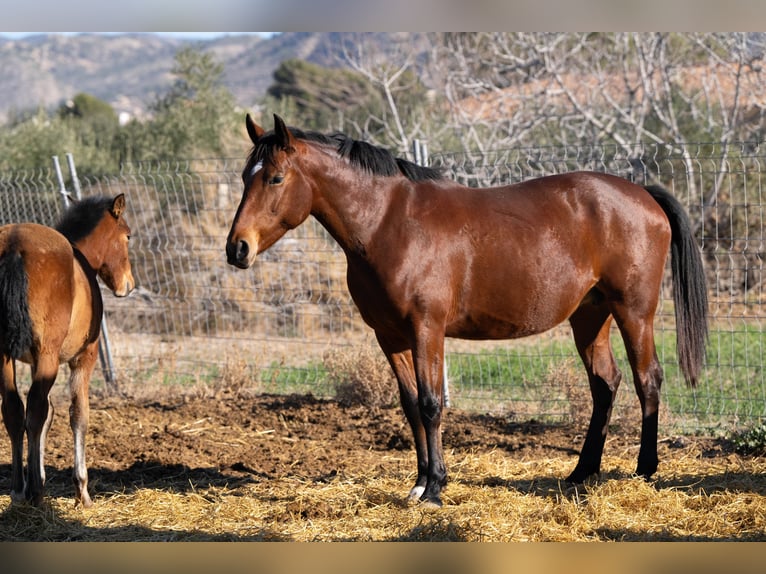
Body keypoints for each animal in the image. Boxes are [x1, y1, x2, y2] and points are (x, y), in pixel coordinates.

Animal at [0, 195, 134, 508]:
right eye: (127, 236)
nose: (128, 285)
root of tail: (14, 244)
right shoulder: (83, 358)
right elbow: (78, 415)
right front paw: (81, 490)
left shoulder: (34, 363)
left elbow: (48, 415)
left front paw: (38, 474)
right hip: (49, 355)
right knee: (33, 410)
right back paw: (35, 493)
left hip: (4, 356)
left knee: (14, 410)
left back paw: (19, 490)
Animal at [225, 115, 712, 510]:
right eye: (246, 177)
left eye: (275, 178)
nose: (237, 248)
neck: (388, 224)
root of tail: (643, 193)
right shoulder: (390, 336)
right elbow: (410, 406)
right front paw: (419, 484)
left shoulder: (427, 329)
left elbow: (431, 404)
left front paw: (436, 488)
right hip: (590, 317)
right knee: (605, 384)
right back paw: (582, 472)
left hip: (635, 313)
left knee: (648, 380)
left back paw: (644, 470)